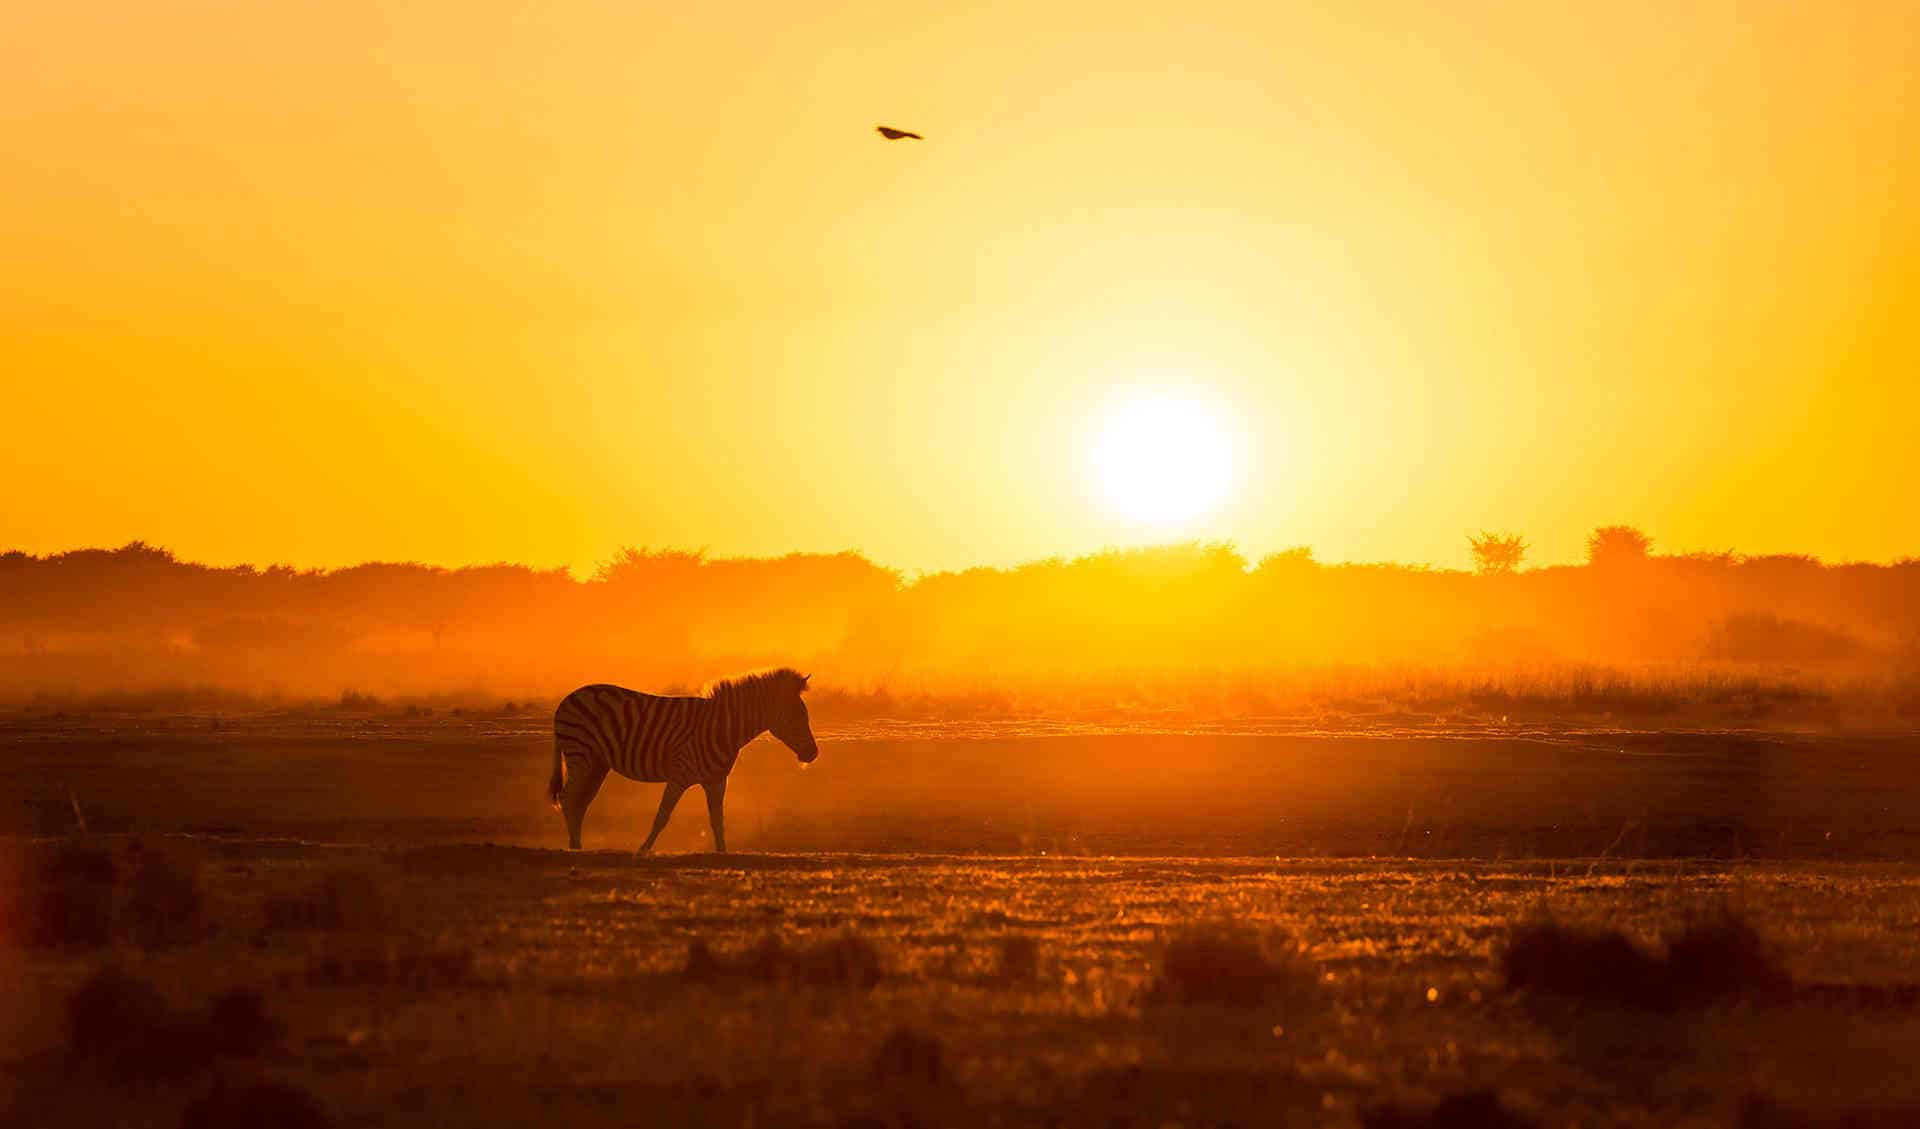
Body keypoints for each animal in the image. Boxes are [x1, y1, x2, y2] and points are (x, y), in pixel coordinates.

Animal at [545, 664, 814, 852]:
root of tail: (567, 699)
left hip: (597, 764)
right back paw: (574, 849)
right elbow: (662, 816)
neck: (722, 728)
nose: (814, 753)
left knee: (579, 802)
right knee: (569, 799)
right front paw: (643, 850)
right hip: (581, 754)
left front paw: (723, 854)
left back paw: (577, 846)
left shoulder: (716, 780)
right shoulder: (680, 775)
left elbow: (717, 820)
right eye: (797, 716)